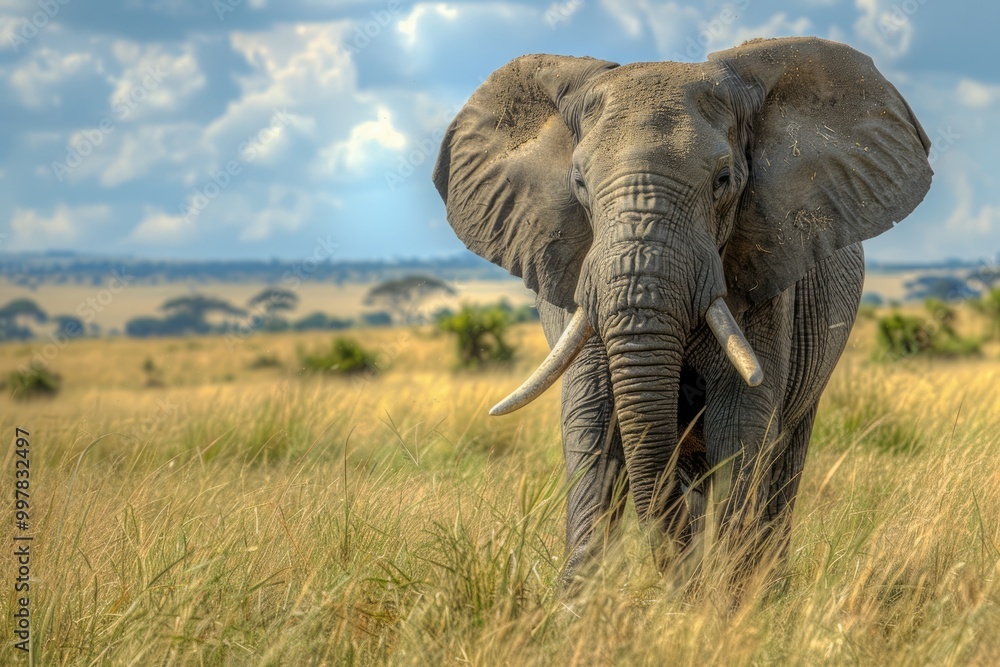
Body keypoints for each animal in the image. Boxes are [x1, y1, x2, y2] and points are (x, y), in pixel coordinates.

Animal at [432, 37, 933, 588]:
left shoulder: (764, 273)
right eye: (579, 183)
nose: (679, 578)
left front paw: (724, 601)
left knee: (784, 458)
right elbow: (592, 423)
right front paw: (581, 602)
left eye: (723, 180)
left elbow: (741, 423)